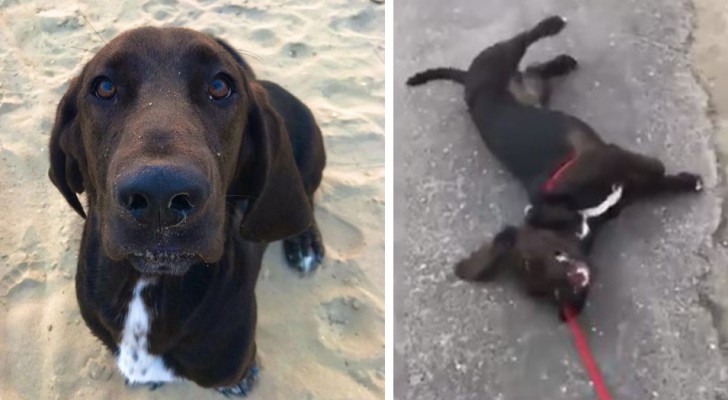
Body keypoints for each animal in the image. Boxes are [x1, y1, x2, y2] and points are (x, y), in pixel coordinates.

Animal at [47, 26, 326, 396]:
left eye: (220, 86)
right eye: (104, 87)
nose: (160, 195)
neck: (148, 285)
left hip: (308, 161)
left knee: (305, 202)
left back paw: (306, 244)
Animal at [406, 15, 704, 320]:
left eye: (542, 256)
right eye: (551, 292)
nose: (574, 291)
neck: (575, 216)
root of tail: (467, 79)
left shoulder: (596, 161)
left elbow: (648, 167)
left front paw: (664, 170)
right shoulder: (622, 184)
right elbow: (655, 183)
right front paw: (687, 181)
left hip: (496, 60)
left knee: (522, 39)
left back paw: (552, 25)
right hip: (538, 88)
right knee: (534, 69)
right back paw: (561, 62)